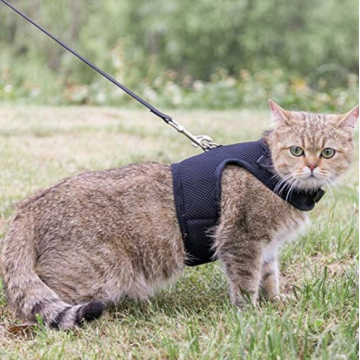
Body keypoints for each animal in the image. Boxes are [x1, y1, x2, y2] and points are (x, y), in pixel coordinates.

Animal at [0, 100, 358, 330]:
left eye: (328, 152)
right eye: (297, 150)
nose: (311, 166)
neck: (268, 170)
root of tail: (31, 204)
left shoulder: (266, 247)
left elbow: (269, 277)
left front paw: (275, 304)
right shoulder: (241, 240)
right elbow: (246, 282)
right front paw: (252, 313)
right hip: (99, 273)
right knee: (31, 303)